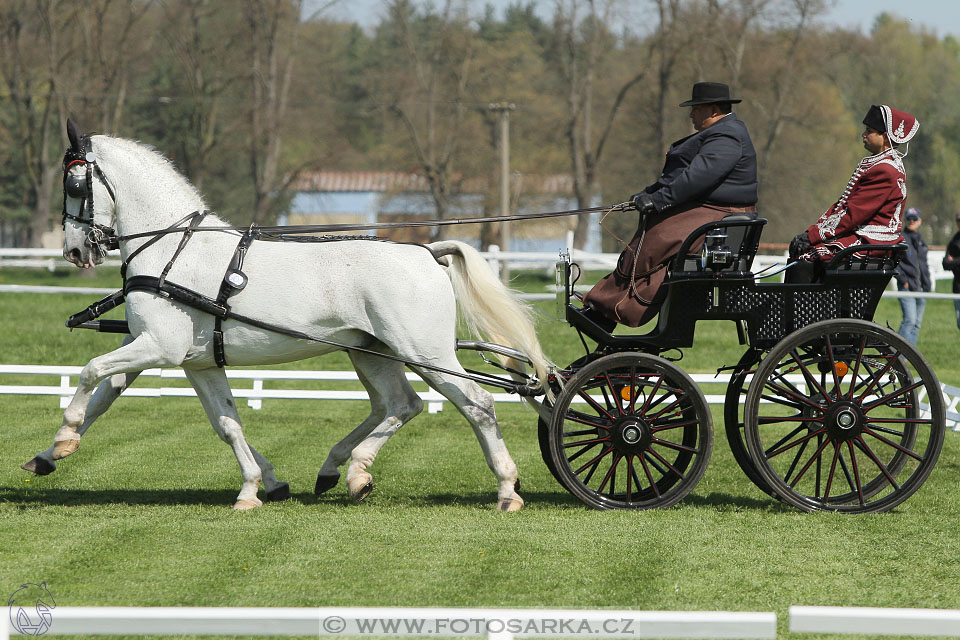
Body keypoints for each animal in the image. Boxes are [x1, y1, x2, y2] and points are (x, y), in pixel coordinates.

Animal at [31, 119, 548, 510]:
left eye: (74, 182)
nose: (75, 250)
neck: (173, 250)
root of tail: (426, 252)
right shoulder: (191, 361)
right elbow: (217, 421)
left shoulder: (159, 348)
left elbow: (90, 372)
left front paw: (66, 434)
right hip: (373, 353)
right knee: (401, 404)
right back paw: (348, 472)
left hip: (426, 353)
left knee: (475, 404)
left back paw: (506, 490)